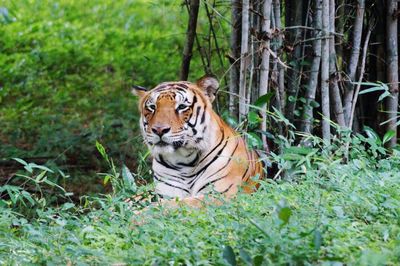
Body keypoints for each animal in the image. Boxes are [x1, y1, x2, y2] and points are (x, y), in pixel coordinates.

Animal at [133, 76, 266, 203]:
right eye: (152, 107)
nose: (159, 130)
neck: (184, 161)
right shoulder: (165, 194)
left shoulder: (221, 195)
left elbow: (176, 205)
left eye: (182, 107)